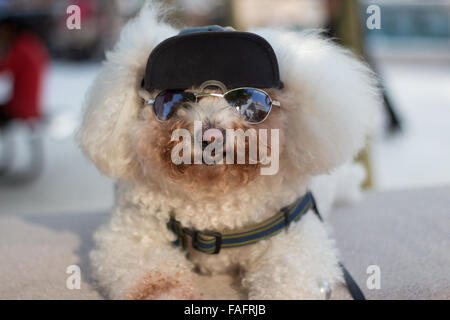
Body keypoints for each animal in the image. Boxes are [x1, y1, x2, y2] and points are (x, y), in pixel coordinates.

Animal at [77, 4, 380, 300]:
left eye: (249, 101)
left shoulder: (294, 240)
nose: (211, 137)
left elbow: (290, 279)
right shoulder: (134, 235)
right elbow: (153, 278)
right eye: (173, 100)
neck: (214, 202)